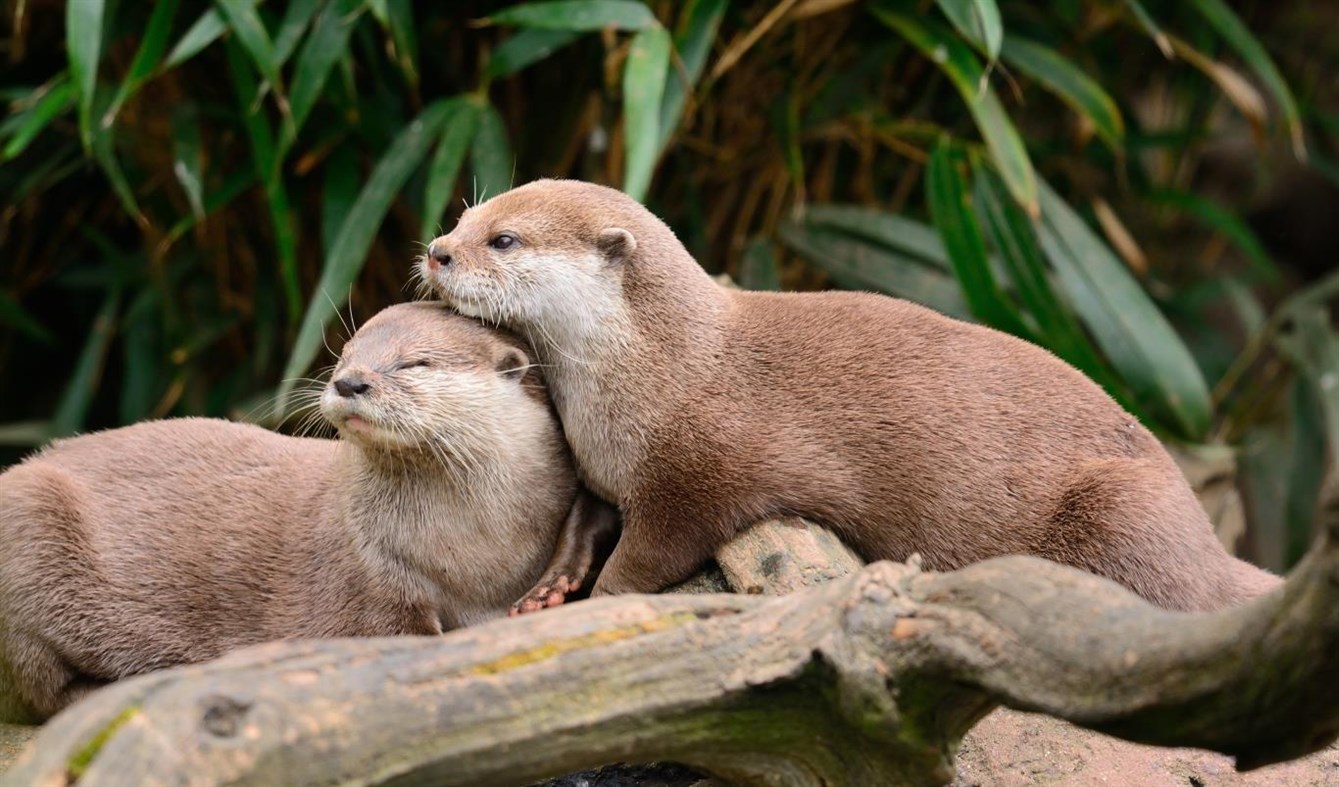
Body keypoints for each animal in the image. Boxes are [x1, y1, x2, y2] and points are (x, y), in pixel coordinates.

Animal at [0, 302, 615, 722]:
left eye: (414, 363)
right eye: (346, 354)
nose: (350, 381)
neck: (471, 556)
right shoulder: (365, 582)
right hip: (27, 530)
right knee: (38, 687)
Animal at [419, 178, 1280, 613]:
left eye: (503, 239)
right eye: (465, 213)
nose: (436, 250)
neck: (654, 375)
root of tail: (1206, 541)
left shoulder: (696, 474)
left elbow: (652, 552)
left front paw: (600, 598)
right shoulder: (604, 464)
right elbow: (583, 518)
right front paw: (552, 583)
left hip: (1120, 505)